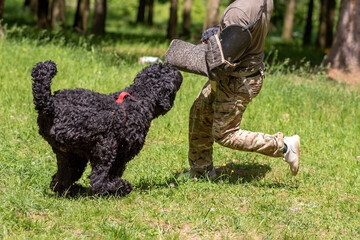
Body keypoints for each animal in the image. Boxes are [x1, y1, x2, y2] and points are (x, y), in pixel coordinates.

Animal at [31, 60, 183, 197]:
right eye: (168, 71)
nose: (176, 68)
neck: (139, 98)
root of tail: (50, 105)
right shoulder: (121, 154)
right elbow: (112, 173)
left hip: (70, 156)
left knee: (60, 180)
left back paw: (76, 190)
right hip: (104, 148)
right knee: (96, 181)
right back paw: (121, 187)